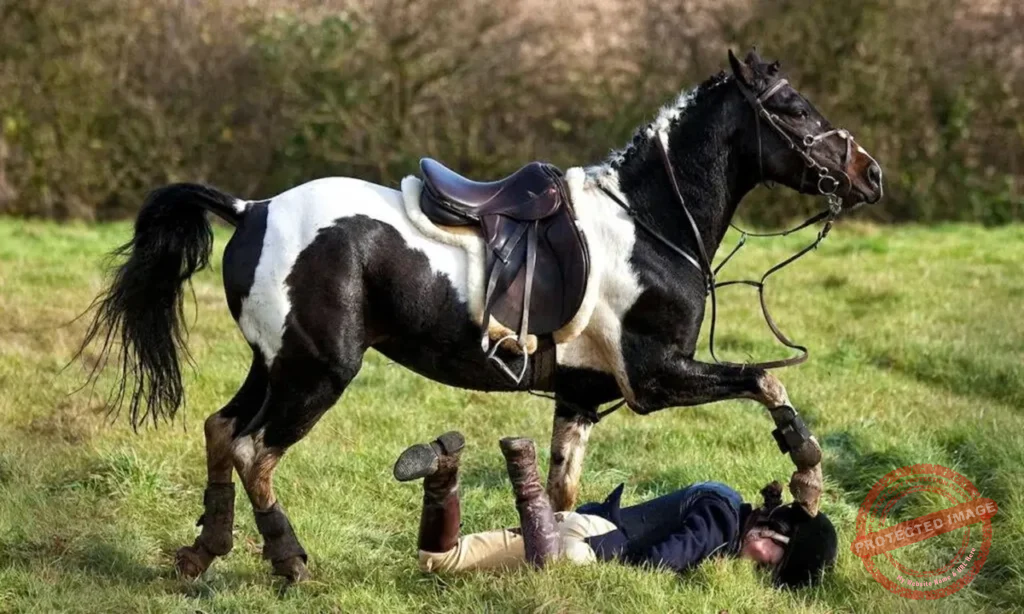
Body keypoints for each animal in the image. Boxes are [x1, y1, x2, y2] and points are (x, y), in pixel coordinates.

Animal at [78, 49, 883, 583]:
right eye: (794, 109)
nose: (869, 174)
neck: (651, 224)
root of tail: (252, 209)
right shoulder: (657, 379)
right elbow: (769, 384)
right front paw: (809, 481)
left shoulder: (581, 395)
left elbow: (561, 492)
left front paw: (548, 558)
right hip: (317, 372)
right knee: (254, 452)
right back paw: (289, 562)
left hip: (274, 364)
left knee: (221, 430)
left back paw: (203, 552)